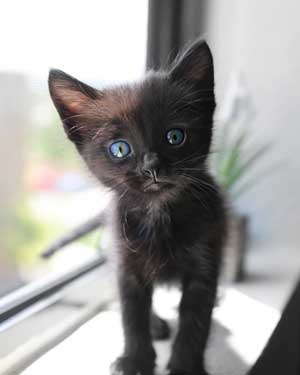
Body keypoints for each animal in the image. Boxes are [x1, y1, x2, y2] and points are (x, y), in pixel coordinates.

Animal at [48, 39, 227, 375]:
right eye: (120, 149)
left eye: (175, 136)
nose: (151, 167)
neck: (159, 213)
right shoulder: (126, 265)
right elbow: (132, 315)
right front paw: (135, 360)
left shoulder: (205, 262)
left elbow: (195, 322)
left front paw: (186, 366)